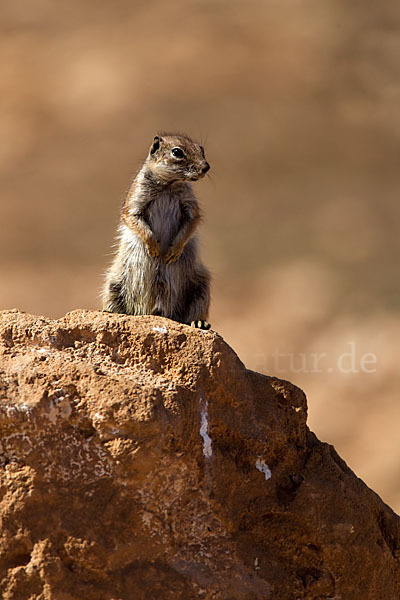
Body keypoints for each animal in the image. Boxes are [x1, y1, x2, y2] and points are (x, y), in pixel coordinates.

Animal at [101, 134, 211, 330]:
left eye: (201, 149)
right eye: (177, 152)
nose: (206, 167)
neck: (168, 184)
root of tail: (156, 311)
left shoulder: (190, 204)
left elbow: (192, 221)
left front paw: (172, 252)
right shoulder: (136, 198)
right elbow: (133, 218)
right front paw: (154, 249)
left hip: (202, 286)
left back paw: (199, 322)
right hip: (114, 282)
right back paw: (109, 311)